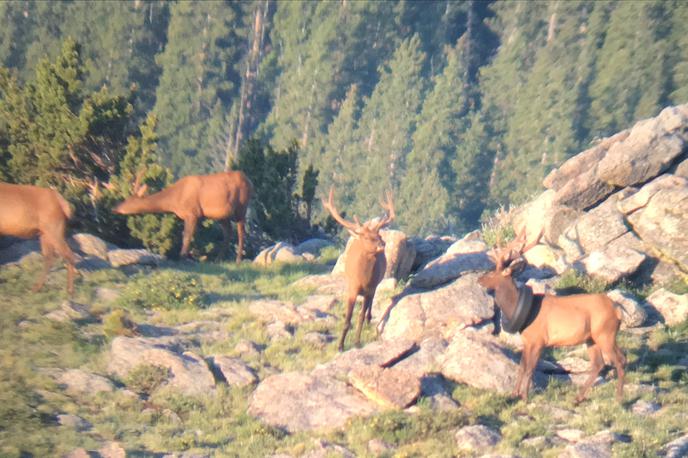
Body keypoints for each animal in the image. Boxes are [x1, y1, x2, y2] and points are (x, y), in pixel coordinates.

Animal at [322, 188, 396, 352]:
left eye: (378, 234)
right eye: (367, 238)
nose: (382, 244)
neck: (363, 279)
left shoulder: (370, 288)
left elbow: (360, 316)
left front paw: (356, 342)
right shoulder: (352, 288)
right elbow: (348, 319)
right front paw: (340, 346)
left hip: (375, 286)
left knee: (369, 305)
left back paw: (369, 319)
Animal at [476, 231, 628, 402]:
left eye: (493, 272)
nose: (479, 279)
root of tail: (617, 310)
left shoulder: (539, 340)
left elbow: (530, 368)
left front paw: (525, 397)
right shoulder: (527, 341)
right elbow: (522, 367)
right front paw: (514, 394)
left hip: (605, 333)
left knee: (620, 359)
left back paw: (618, 398)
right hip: (592, 338)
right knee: (599, 364)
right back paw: (578, 398)